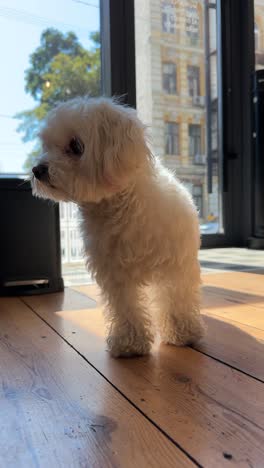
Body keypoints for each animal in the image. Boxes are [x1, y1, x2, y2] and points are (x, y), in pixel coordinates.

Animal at [30, 97, 204, 356]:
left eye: (76, 146)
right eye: (47, 145)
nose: (37, 170)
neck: (124, 210)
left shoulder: (175, 265)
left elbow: (177, 298)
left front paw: (182, 331)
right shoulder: (116, 273)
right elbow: (126, 307)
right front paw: (130, 342)